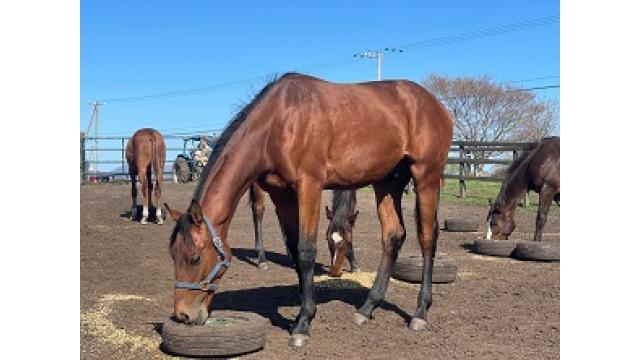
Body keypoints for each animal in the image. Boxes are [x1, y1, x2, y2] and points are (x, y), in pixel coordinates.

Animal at [165, 72, 456, 346]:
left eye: (194, 258)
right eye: (173, 256)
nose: (183, 315)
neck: (280, 122)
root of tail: (436, 105)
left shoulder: (310, 186)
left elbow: (306, 251)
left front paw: (303, 325)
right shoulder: (282, 195)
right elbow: (295, 251)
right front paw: (300, 315)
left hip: (426, 175)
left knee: (427, 238)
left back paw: (420, 313)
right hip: (387, 182)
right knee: (393, 236)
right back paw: (367, 308)